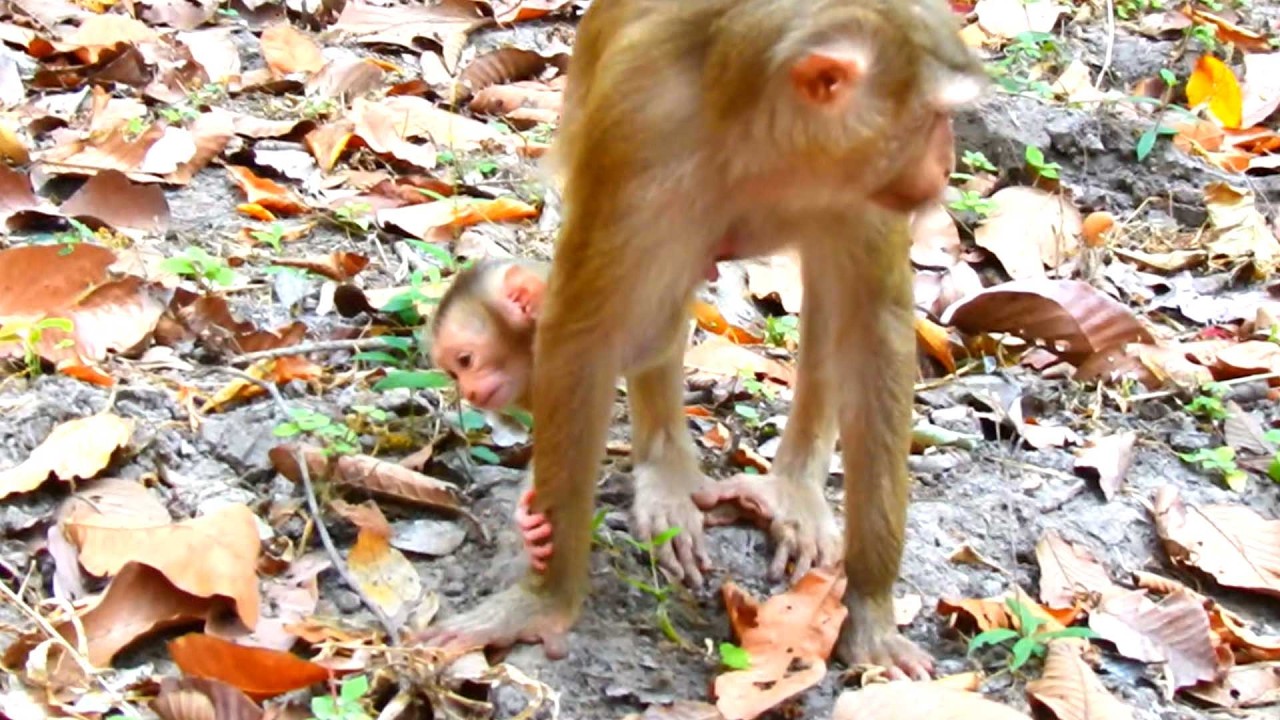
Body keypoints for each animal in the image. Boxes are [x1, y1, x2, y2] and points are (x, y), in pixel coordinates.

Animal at [415, 0, 985, 680]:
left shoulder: (865, 185)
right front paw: (543, 598)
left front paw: (870, 607)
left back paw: (794, 489)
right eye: (931, 118)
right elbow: (586, 335)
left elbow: (873, 337)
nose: (948, 163)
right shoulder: (639, 131)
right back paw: (668, 476)